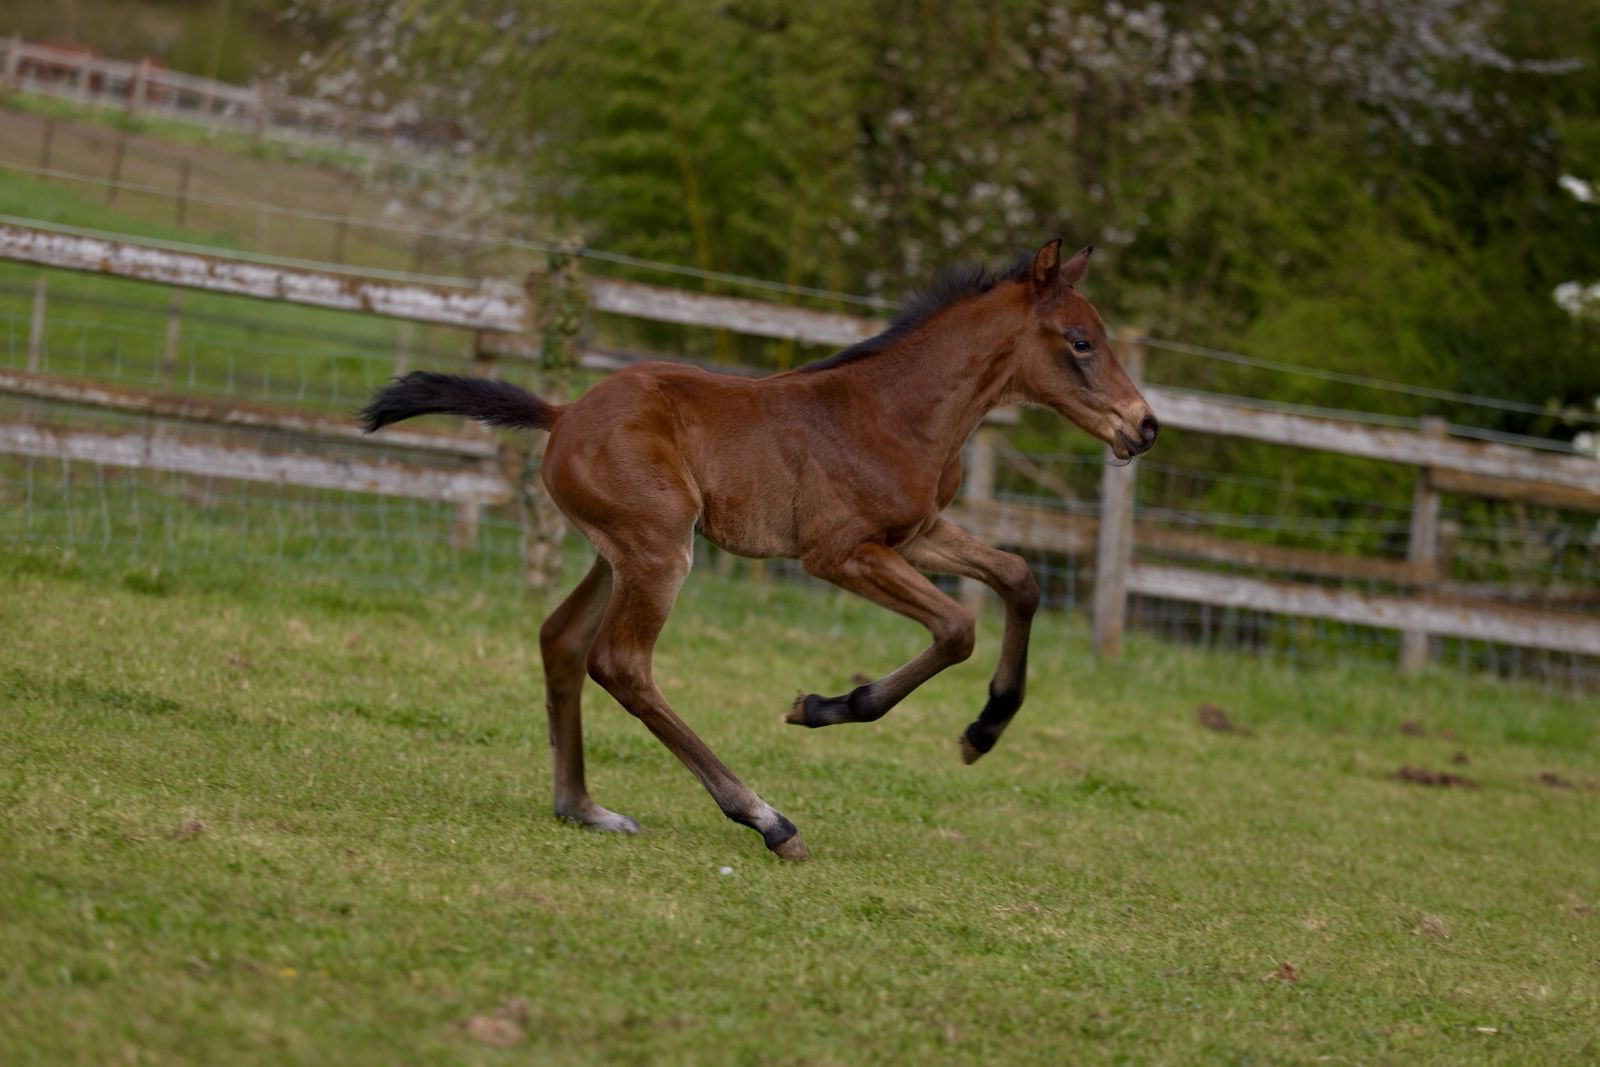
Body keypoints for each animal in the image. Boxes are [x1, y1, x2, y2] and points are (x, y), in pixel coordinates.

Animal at [361, 239, 1158, 861]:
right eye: (1080, 342)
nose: (1144, 426)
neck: (899, 411)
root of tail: (562, 414)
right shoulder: (838, 552)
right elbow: (957, 627)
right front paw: (827, 706)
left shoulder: (921, 533)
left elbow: (1019, 578)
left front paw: (984, 731)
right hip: (659, 552)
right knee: (620, 662)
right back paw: (766, 819)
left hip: (619, 553)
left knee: (561, 639)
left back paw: (585, 808)